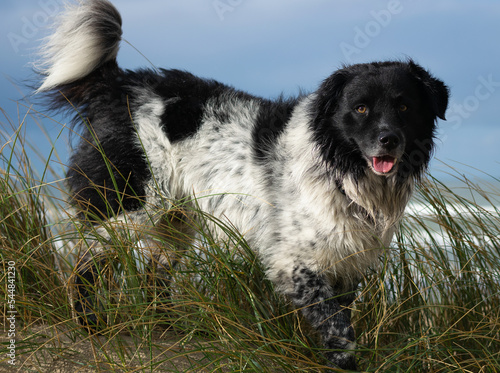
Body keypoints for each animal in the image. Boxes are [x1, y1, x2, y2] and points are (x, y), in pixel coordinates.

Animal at [35, 0, 450, 366]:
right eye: (360, 107)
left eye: (404, 106)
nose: (388, 140)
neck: (338, 166)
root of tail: (122, 85)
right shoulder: (295, 261)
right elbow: (338, 329)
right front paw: (344, 364)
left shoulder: (346, 259)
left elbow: (340, 321)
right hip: (133, 205)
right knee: (85, 261)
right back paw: (90, 324)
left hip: (174, 219)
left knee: (155, 272)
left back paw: (168, 328)